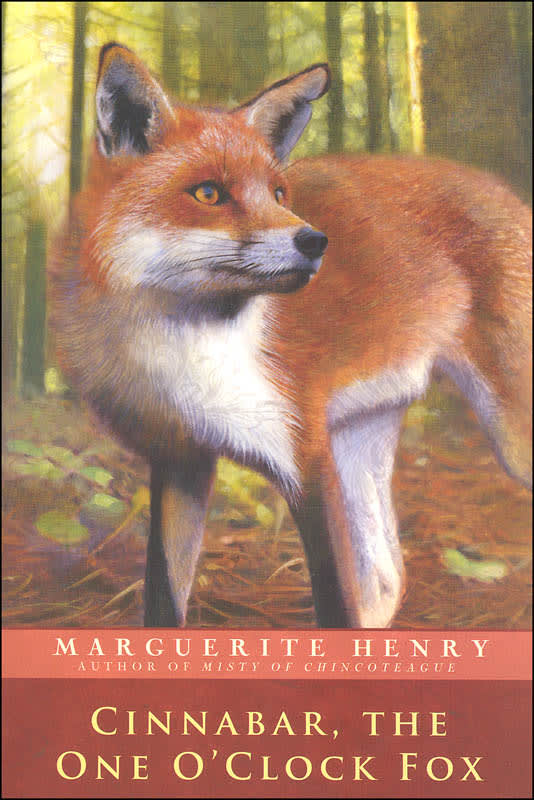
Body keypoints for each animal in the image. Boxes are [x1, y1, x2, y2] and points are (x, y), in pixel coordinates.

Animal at [50, 43, 532, 629]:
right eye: (209, 193)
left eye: (279, 193)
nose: (316, 241)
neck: (176, 353)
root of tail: (507, 192)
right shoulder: (180, 461)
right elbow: (163, 601)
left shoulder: (305, 458)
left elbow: (333, 608)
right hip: (360, 442)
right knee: (387, 581)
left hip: (507, 440)